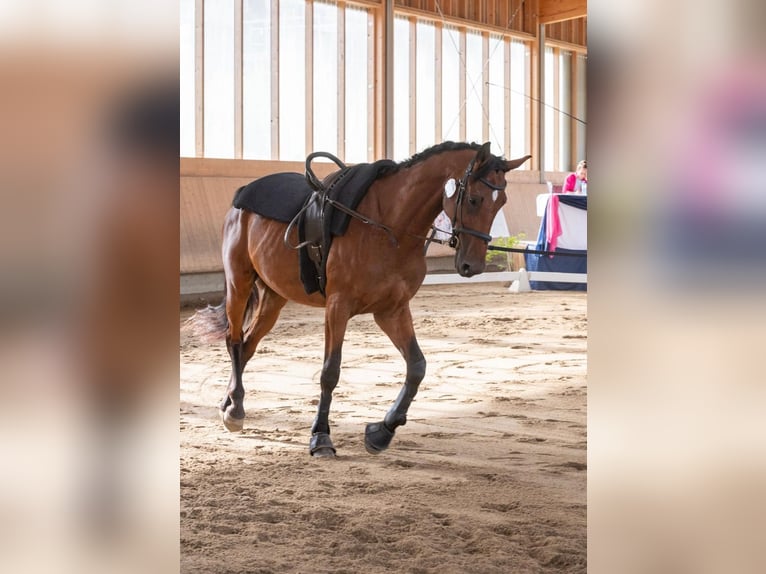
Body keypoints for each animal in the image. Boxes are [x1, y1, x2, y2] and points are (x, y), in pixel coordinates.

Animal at [189, 141, 531, 457]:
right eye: (474, 199)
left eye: (501, 202)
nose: (472, 266)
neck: (389, 227)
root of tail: (243, 194)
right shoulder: (337, 307)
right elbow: (330, 372)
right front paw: (321, 437)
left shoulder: (392, 310)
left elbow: (417, 367)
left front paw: (381, 432)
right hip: (239, 283)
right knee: (234, 341)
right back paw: (235, 411)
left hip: (274, 297)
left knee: (247, 346)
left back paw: (229, 403)